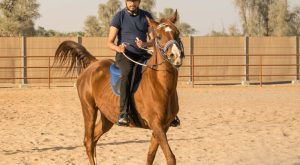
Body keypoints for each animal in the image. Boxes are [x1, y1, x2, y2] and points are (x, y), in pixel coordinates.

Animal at [54, 10, 185, 165]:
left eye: (177, 33)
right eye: (158, 36)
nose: (176, 56)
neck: (161, 85)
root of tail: (93, 64)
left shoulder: (163, 127)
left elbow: (150, 155)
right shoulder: (156, 125)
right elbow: (170, 158)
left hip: (107, 118)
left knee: (94, 139)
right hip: (89, 109)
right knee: (88, 141)